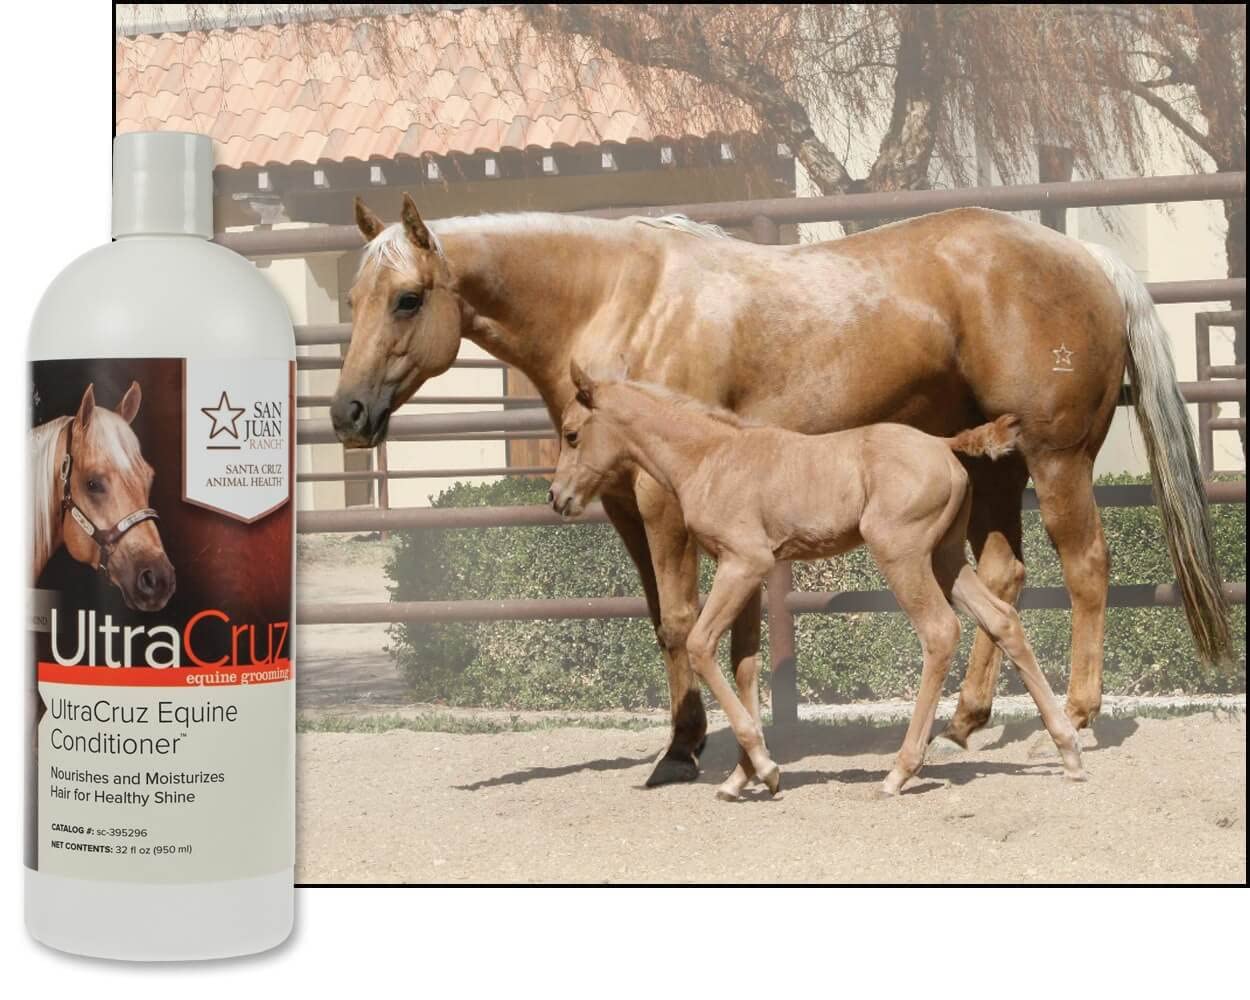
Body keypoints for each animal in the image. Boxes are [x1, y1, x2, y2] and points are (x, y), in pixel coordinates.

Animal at [549, 365, 1086, 798]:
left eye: (572, 434)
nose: (557, 497)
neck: (710, 457)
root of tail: (942, 443)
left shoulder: (742, 563)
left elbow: (701, 646)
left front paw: (765, 769)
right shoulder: (747, 570)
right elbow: (745, 664)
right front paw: (742, 777)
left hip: (903, 555)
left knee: (939, 632)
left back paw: (900, 771)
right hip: (945, 557)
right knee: (1003, 619)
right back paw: (1068, 751)